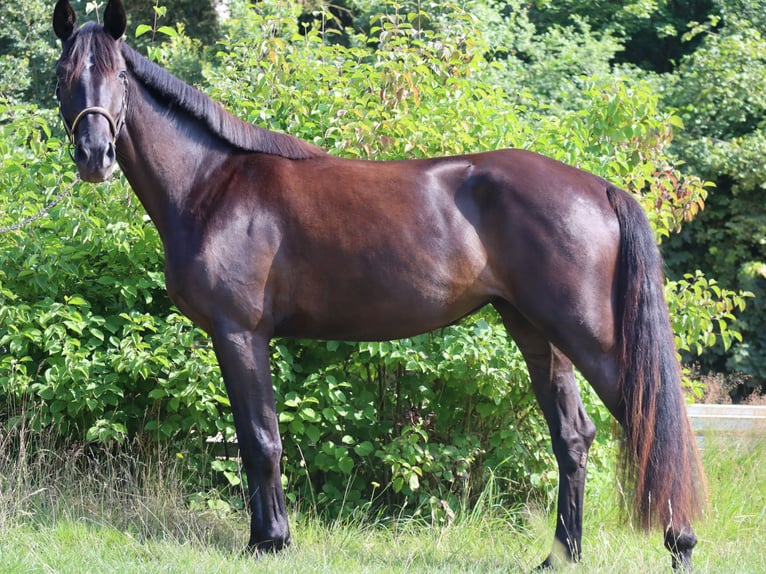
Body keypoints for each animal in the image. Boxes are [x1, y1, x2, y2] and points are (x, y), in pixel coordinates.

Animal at [49, 0, 708, 568]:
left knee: (647, 425)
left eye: (117, 74)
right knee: (573, 437)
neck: (212, 183)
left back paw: (680, 544)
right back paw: (559, 557)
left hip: (588, 336)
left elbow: (261, 439)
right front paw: (267, 536)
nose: (94, 155)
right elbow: (252, 437)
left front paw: (269, 542)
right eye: (63, 74)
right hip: (535, 332)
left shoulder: (239, 333)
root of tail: (598, 187)